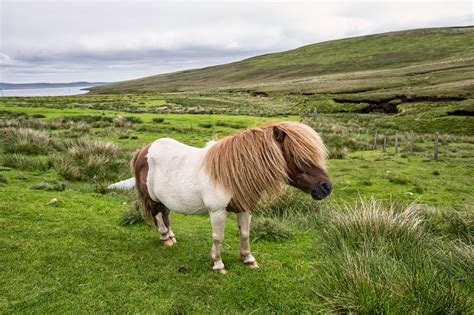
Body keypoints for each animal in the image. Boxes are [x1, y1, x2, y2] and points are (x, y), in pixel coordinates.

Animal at [112, 121, 332, 274]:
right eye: (297, 157)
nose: (327, 187)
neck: (232, 174)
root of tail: (144, 149)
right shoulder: (217, 212)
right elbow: (218, 238)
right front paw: (218, 264)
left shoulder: (245, 209)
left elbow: (245, 234)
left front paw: (248, 259)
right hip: (152, 198)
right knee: (158, 215)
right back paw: (165, 238)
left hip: (164, 198)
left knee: (165, 213)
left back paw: (171, 236)